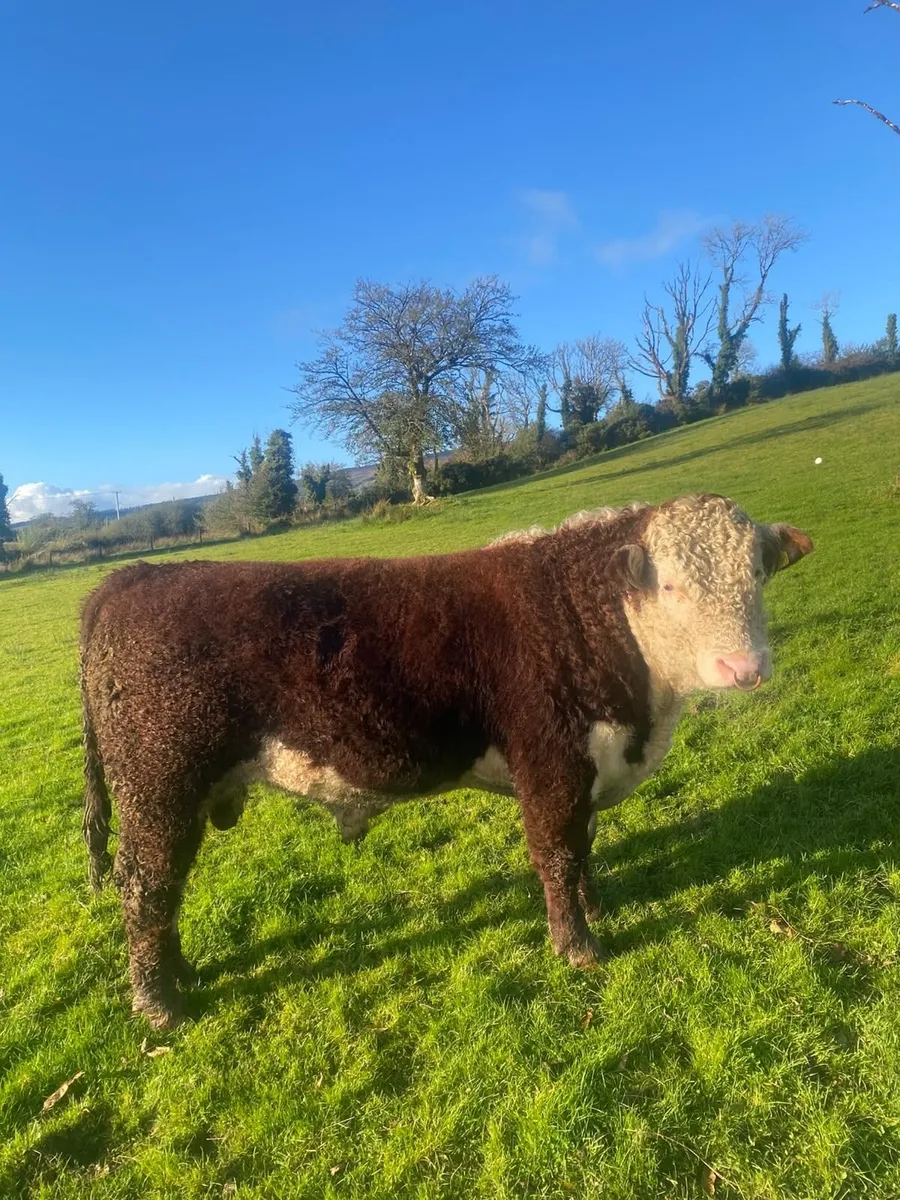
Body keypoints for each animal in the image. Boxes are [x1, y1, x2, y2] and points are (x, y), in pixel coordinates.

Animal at [80, 493, 813, 1029]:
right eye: (673, 588)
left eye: (756, 574)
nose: (744, 668)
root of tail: (132, 576)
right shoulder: (550, 765)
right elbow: (556, 854)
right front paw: (577, 946)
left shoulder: (587, 770)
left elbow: (584, 847)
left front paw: (597, 910)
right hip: (158, 785)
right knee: (145, 885)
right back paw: (160, 1006)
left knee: (164, 887)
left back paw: (180, 976)